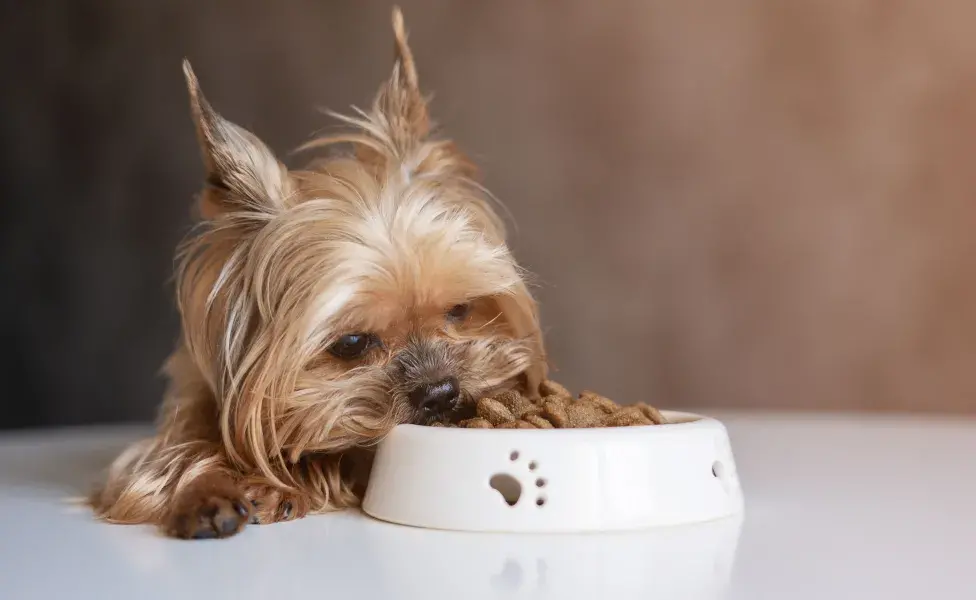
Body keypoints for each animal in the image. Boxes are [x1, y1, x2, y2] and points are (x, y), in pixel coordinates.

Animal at [89, 5, 548, 540]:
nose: (441, 392)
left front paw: (277, 484)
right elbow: (165, 463)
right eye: (350, 344)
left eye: (461, 309)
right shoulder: (175, 423)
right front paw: (209, 493)